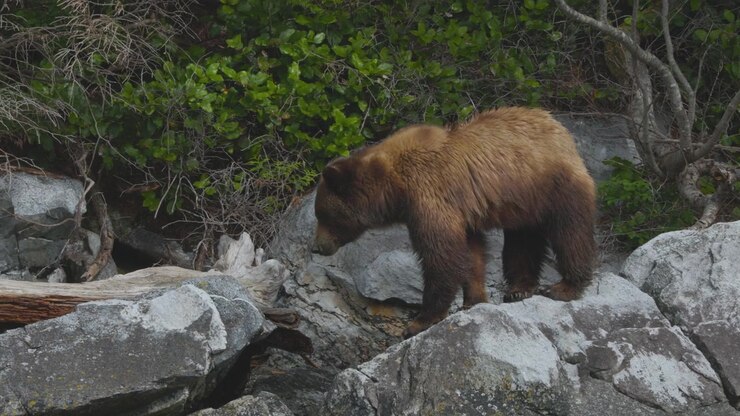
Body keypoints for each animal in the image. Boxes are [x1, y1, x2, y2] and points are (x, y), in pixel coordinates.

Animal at [313, 107, 596, 338]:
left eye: (321, 215)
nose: (317, 246)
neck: (395, 186)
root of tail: (559, 127)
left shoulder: (430, 196)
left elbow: (440, 256)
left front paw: (418, 322)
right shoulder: (461, 213)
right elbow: (471, 253)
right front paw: (473, 299)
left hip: (553, 183)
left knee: (570, 232)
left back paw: (565, 286)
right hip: (524, 203)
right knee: (522, 241)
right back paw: (519, 288)